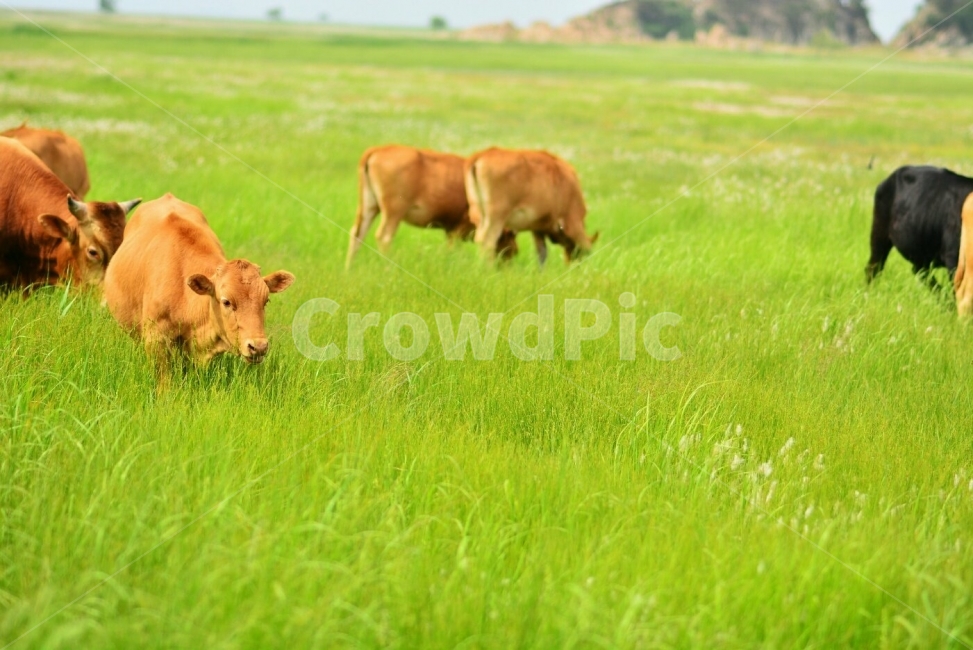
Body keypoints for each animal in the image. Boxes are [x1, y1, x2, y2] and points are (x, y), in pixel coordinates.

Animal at [465, 148, 598, 264]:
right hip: (496, 218)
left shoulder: (537, 228)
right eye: (586, 252)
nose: (574, 265)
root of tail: (482, 155)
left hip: (479, 215)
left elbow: (542, 253)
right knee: (488, 241)